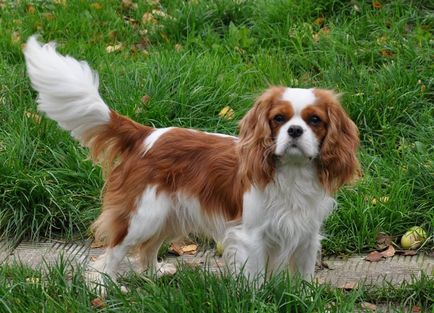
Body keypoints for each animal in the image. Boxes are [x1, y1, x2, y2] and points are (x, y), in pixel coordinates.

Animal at [23, 36, 360, 286]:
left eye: (314, 120)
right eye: (279, 118)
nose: (294, 130)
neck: (291, 173)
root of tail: (145, 134)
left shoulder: (306, 235)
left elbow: (303, 277)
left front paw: (303, 298)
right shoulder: (251, 236)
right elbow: (254, 280)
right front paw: (259, 300)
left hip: (169, 214)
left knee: (148, 248)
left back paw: (154, 273)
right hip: (143, 215)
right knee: (111, 254)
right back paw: (105, 288)